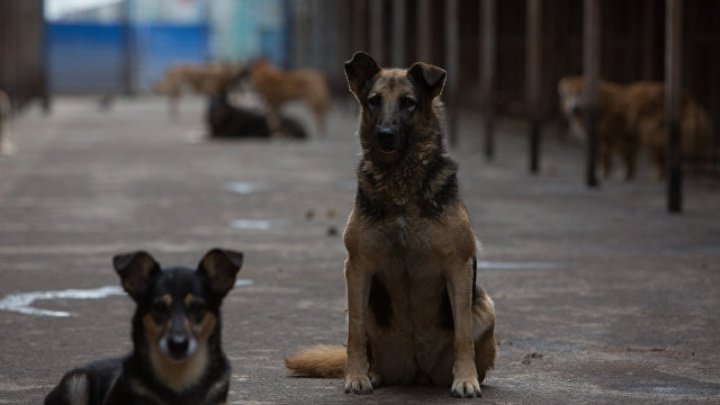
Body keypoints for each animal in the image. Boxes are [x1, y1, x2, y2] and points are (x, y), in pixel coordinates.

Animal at [286, 51, 496, 398]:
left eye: (408, 103)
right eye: (374, 101)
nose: (385, 135)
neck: (401, 185)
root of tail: (417, 372)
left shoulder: (459, 266)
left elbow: (462, 333)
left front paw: (466, 380)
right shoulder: (358, 267)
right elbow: (355, 333)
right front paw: (355, 377)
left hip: (484, 304)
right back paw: (372, 374)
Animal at [556, 77, 716, 180]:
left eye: (581, 94)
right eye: (569, 95)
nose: (574, 108)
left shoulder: (603, 137)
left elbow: (604, 157)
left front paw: (602, 173)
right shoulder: (623, 138)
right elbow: (628, 157)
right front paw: (628, 173)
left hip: (649, 132)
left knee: (662, 154)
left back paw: (660, 174)